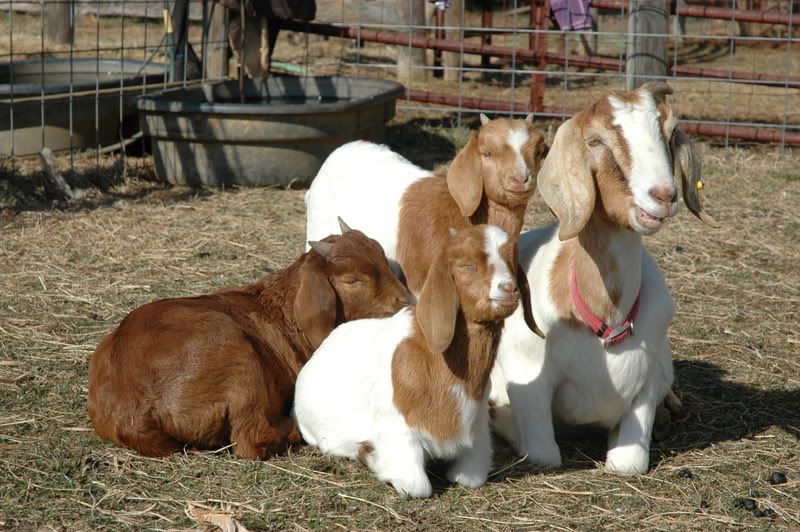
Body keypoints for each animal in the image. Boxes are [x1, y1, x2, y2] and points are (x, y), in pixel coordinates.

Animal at [87, 221, 410, 460]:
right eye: (352, 280)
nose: (406, 300)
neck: (283, 312)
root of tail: (137, 410)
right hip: (239, 362)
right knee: (251, 440)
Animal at [294, 225, 522, 497]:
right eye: (466, 265)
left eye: (513, 259)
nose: (509, 289)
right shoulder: (398, 432)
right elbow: (417, 486)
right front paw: (369, 455)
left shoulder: (477, 433)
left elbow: (471, 478)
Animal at [489, 82, 717, 475]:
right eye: (595, 141)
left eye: (671, 134)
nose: (664, 195)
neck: (604, 320)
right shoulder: (526, 380)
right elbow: (543, 454)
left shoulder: (646, 385)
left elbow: (628, 463)